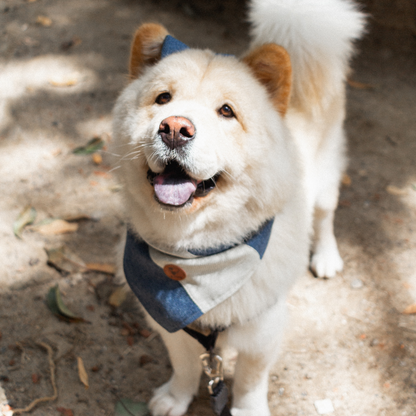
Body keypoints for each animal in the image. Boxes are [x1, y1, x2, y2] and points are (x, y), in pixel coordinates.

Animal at [111, 1, 364, 414]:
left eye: (226, 111)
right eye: (162, 99)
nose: (174, 127)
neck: (194, 257)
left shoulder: (263, 330)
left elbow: (250, 381)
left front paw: (248, 409)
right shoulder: (174, 330)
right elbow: (185, 368)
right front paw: (175, 398)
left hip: (327, 175)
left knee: (325, 217)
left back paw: (326, 257)